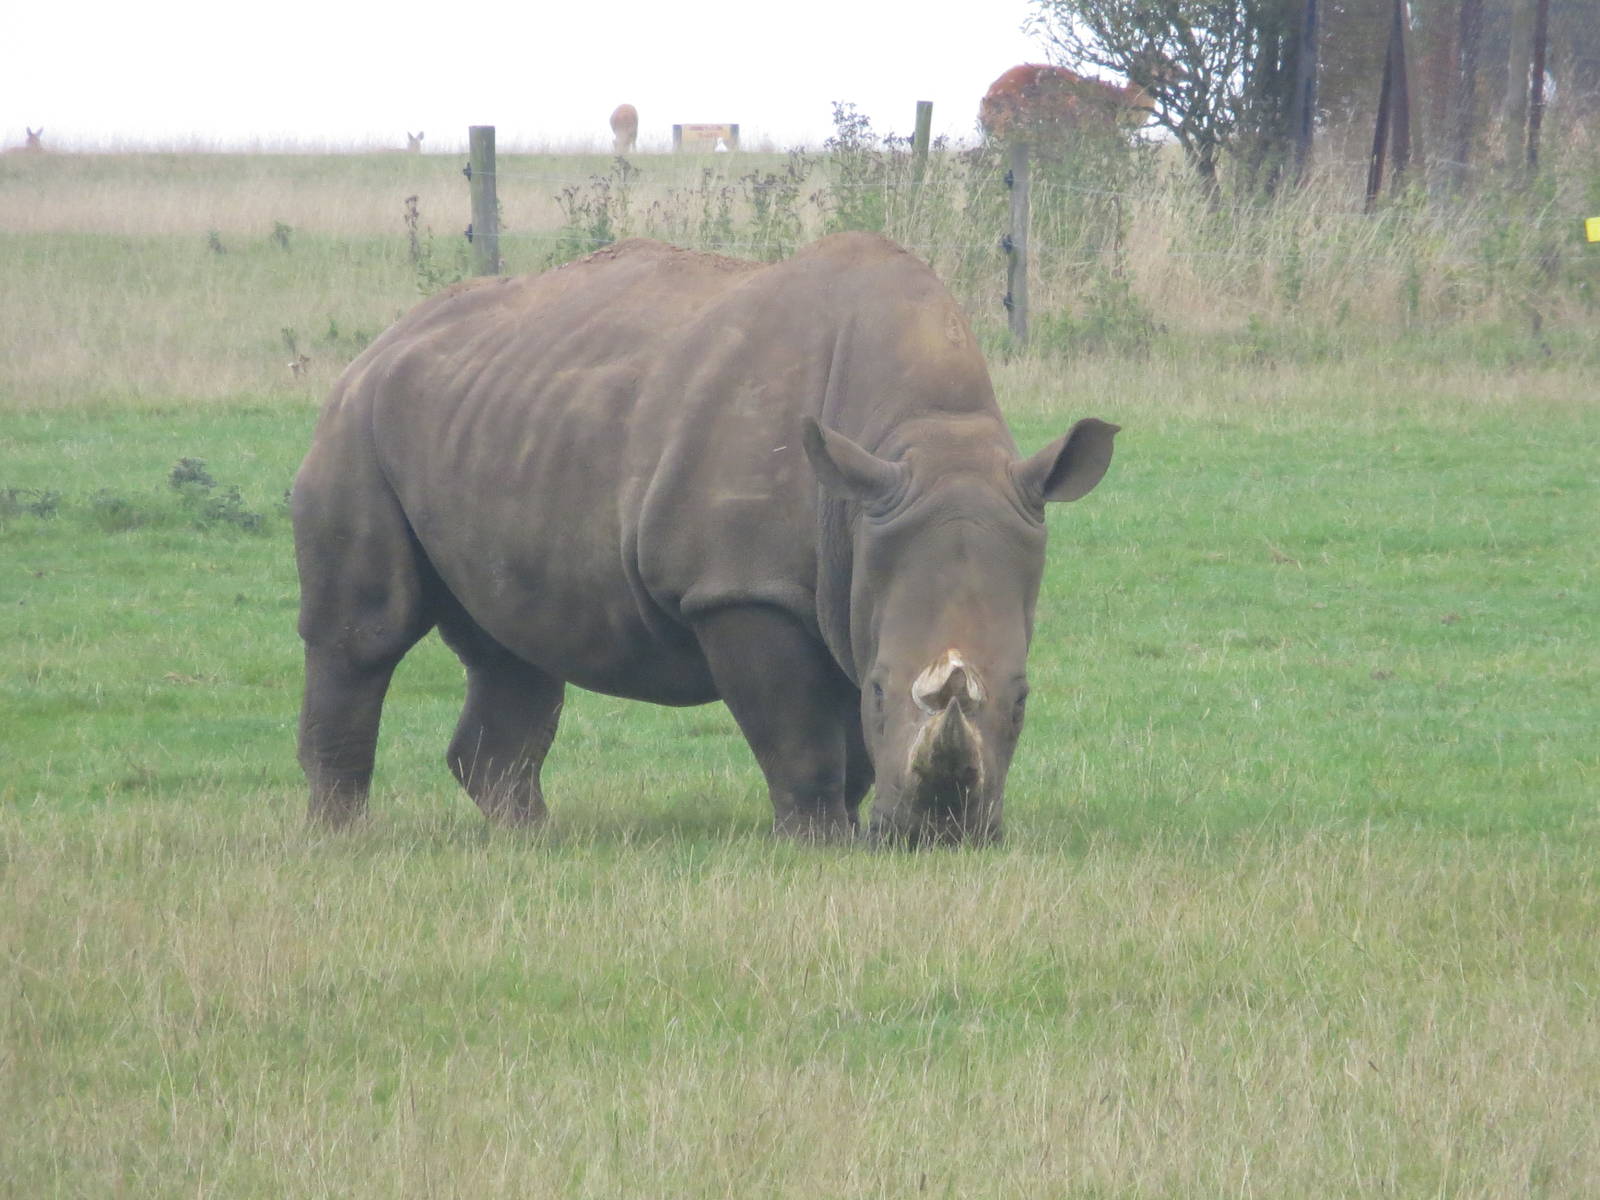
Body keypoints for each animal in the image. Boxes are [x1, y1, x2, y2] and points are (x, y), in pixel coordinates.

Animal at [292, 233, 1118, 845]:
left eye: (1023, 698)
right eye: (883, 691)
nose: (940, 838)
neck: (919, 432)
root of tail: (384, 338)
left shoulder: (856, 568)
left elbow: (843, 724)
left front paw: (858, 827)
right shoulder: (741, 588)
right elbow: (799, 730)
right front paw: (819, 840)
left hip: (496, 419)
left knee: (514, 647)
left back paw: (534, 841)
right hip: (356, 421)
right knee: (365, 633)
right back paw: (343, 838)